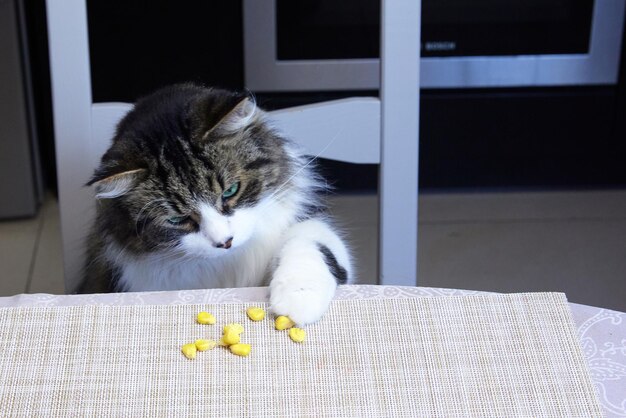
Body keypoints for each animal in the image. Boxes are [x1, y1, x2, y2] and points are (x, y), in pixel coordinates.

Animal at [79, 84, 352, 326]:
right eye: (177, 220)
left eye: (231, 191)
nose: (225, 242)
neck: (230, 264)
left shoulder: (306, 220)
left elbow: (313, 245)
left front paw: (299, 301)